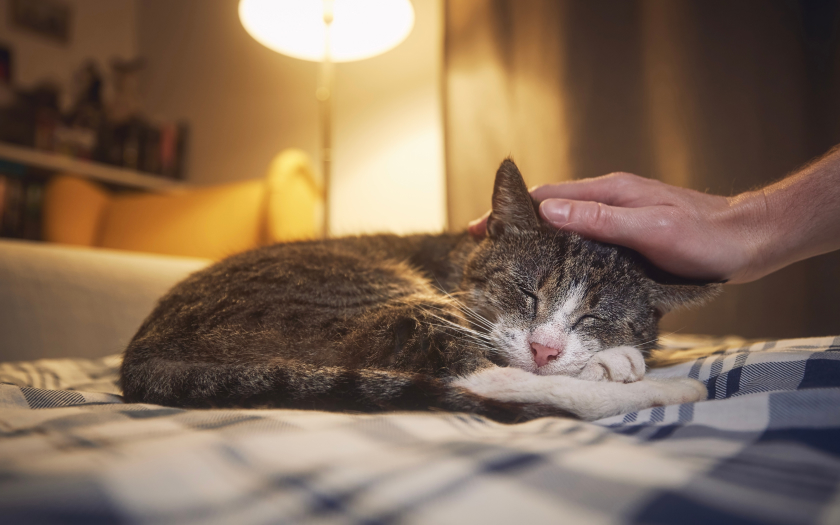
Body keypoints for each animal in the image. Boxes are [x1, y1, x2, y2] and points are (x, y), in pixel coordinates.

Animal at [121, 159, 720, 422]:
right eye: (525, 293)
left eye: (592, 318)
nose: (545, 348)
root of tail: (142, 353)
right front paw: (619, 364)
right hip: (372, 295)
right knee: (481, 379)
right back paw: (666, 387)